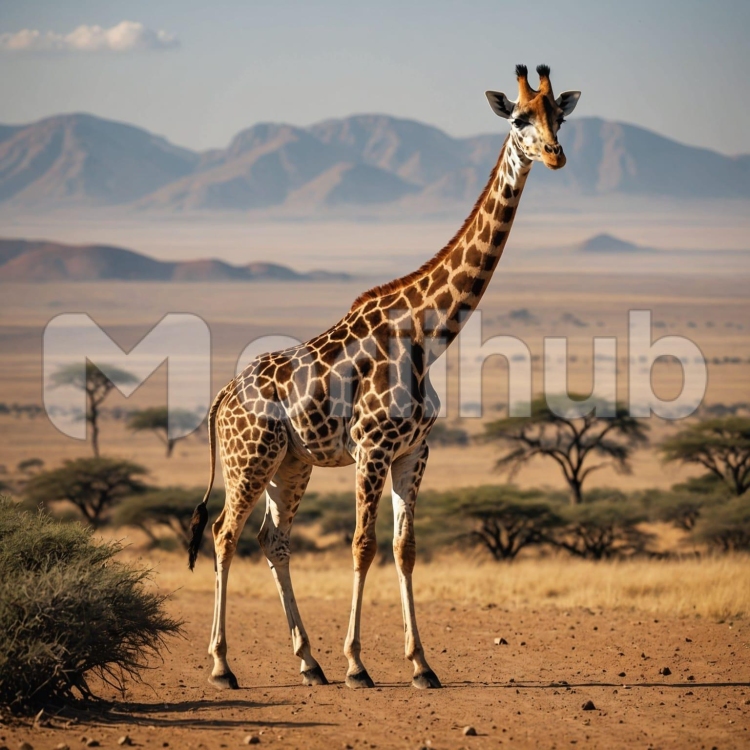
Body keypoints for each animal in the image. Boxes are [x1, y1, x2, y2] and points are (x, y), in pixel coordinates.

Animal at [188, 64, 581, 691]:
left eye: (559, 118)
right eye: (520, 118)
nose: (554, 154)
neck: (429, 334)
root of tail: (222, 396)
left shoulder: (414, 451)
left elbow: (405, 547)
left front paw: (421, 665)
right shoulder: (371, 449)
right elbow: (362, 546)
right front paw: (358, 664)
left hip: (289, 465)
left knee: (273, 540)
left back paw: (309, 662)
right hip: (247, 460)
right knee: (226, 535)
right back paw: (224, 666)